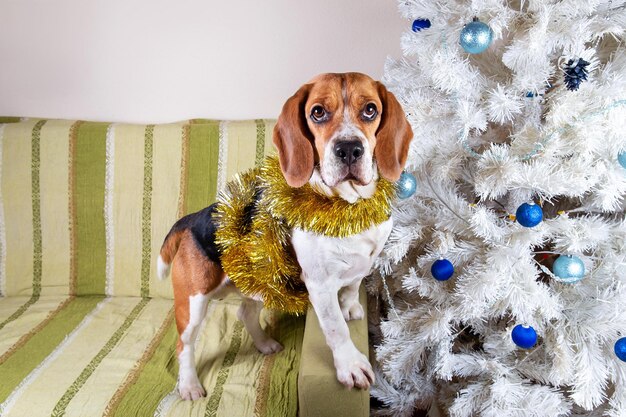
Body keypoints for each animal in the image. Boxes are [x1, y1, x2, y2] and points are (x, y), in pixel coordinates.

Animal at [157, 72, 410, 400]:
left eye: (370, 110)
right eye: (318, 112)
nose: (349, 149)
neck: (349, 208)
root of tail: (192, 218)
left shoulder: (362, 265)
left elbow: (353, 287)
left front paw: (351, 307)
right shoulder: (320, 285)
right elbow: (336, 328)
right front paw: (350, 365)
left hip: (257, 279)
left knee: (245, 312)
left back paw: (264, 343)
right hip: (193, 303)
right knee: (184, 345)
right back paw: (189, 385)